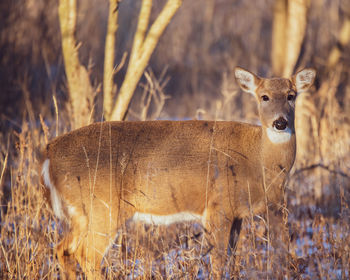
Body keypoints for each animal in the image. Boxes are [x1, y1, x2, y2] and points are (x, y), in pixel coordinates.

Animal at [40, 66, 314, 278]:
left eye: (291, 95)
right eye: (264, 97)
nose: (280, 122)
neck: (259, 162)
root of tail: (50, 153)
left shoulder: (238, 215)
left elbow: (231, 260)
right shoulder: (219, 207)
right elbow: (218, 264)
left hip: (80, 213)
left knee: (63, 249)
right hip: (103, 207)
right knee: (87, 255)